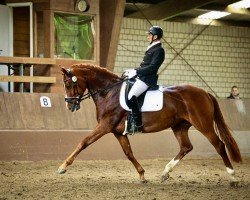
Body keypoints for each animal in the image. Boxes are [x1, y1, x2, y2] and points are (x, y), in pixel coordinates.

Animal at [57, 64, 241, 183]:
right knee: (186, 147)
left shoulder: (105, 126)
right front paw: (142, 175)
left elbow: (83, 142)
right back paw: (165, 173)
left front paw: (63, 167)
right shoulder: (117, 132)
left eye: (68, 83)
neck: (109, 93)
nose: (69, 106)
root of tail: (205, 92)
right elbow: (128, 153)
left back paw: (232, 177)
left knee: (219, 145)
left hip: (203, 124)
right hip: (179, 126)